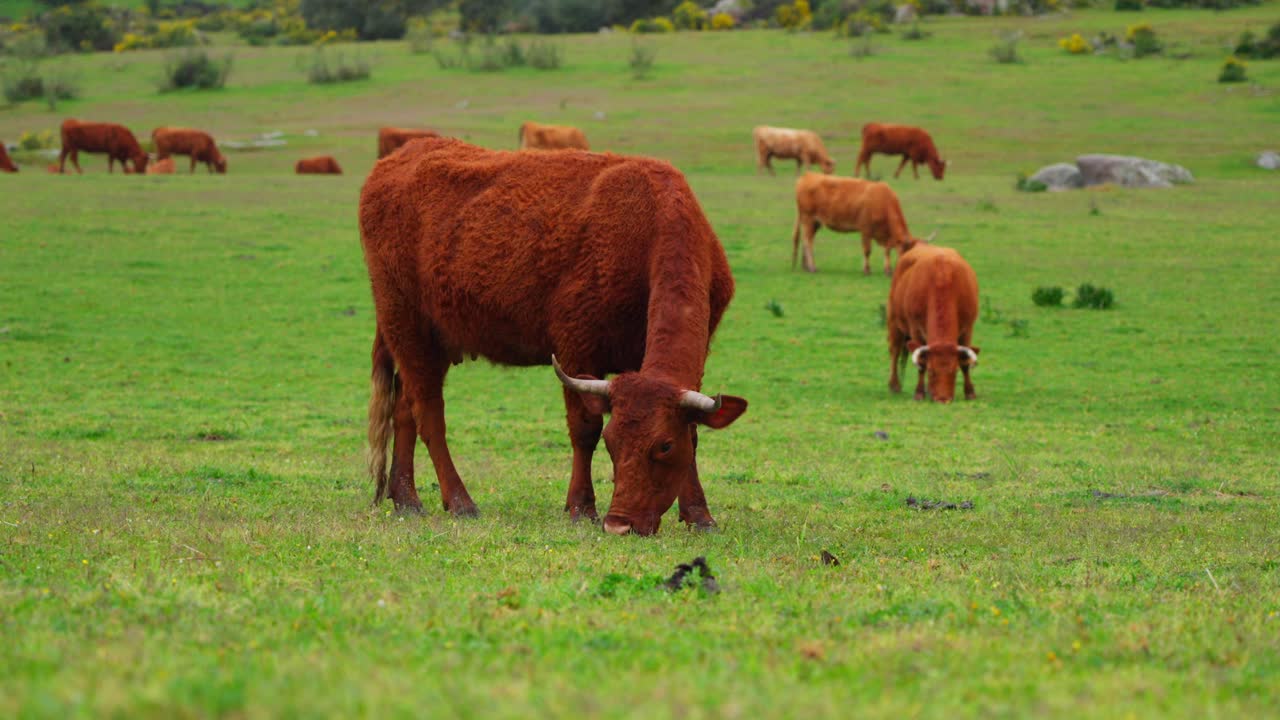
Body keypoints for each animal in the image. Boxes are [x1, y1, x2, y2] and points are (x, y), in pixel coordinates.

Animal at [361, 137, 747, 536]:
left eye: (665, 446)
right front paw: (580, 506)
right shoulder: (576, 346)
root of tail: (401, 156)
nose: (618, 524)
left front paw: (699, 514)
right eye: (612, 443)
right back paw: (460, 501)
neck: (651, 225)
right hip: (407, 327)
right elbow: (585, 429)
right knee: (429, 415)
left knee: (404, 409)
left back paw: (406, 499)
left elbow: (694, 435)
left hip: (430, 342)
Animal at [791, 172, 932, 276]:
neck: (882, 200)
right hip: (808, 219)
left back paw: (806, 267)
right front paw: (867, 270)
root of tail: (808, 175)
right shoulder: (865, 229)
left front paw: (888, 270)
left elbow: (887, 251)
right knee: (808, 242)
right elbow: (867, 250)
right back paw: (812, 267)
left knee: (806, 241)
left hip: (815, 222)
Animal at [887, 244, 980, 404]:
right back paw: (895, 385)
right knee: (895, 352)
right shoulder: (915, 330)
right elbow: (921, 363)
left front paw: (970, 392)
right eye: (931, 371)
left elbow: (965, 362)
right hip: (895, 324)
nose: (943, 399)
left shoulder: (968, 329)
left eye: (954, 370)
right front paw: (919, 393)